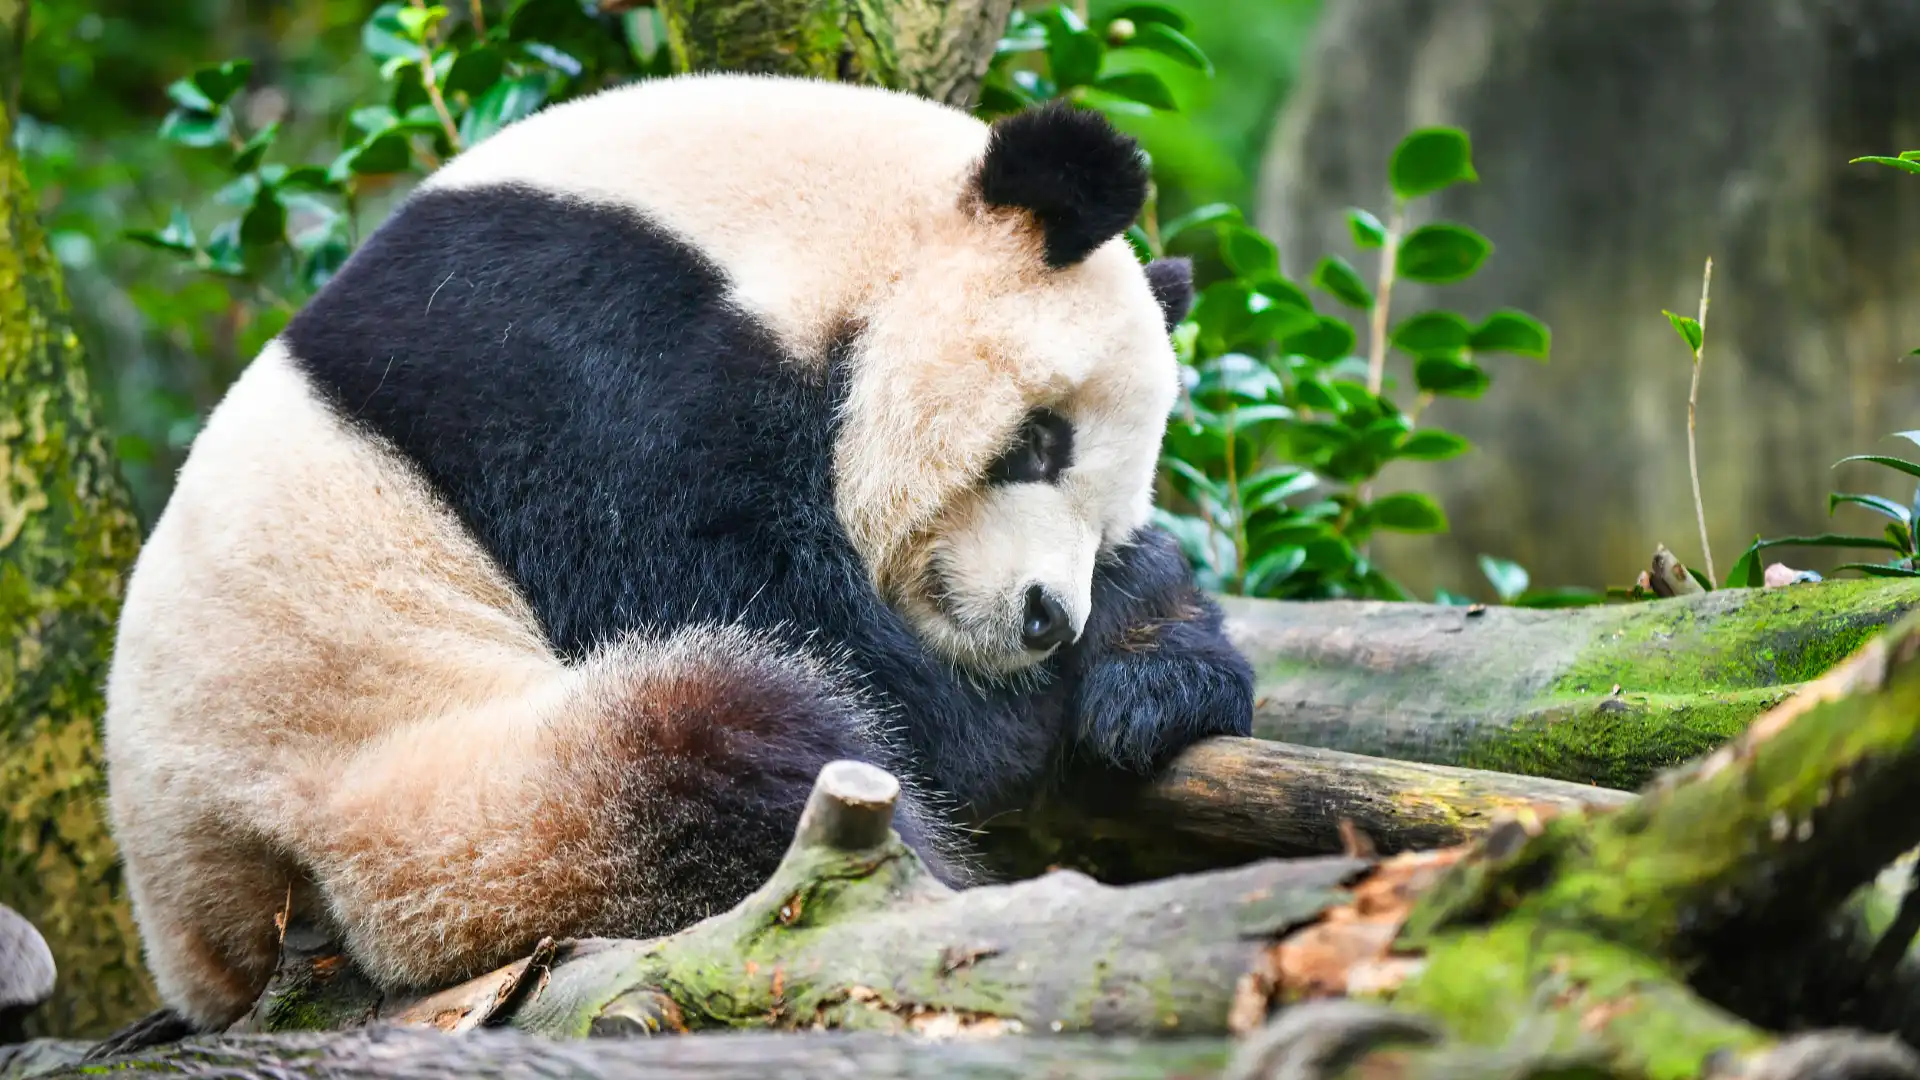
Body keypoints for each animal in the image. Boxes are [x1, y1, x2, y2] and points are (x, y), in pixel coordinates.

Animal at [101, 72, 1256, 1031]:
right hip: (422, 805)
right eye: (1038, 441)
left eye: (1107, 512)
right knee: (723, 745)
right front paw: (1038, 705)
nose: (1044, 617)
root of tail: (205, 946)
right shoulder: (573, 354)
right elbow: (751, 602)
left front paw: (1157, 662)